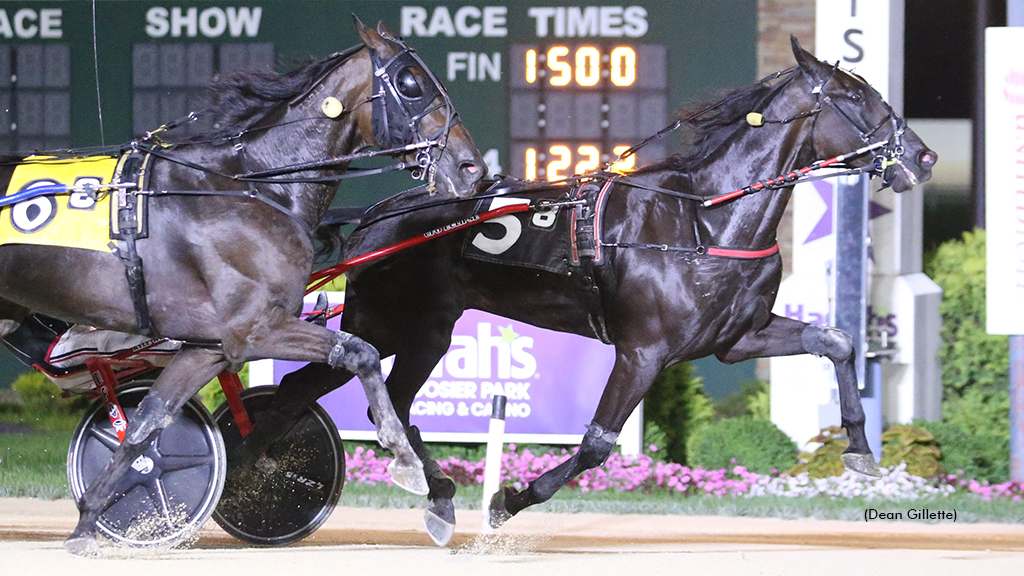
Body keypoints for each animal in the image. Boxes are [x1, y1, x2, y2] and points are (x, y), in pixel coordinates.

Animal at [0, 20, 485, 553]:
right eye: (411, 83)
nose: (471, 168)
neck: (250, 187)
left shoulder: (208, 347)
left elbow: (147, 422)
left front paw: (88, 520)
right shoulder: (254, 329)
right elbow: (361, 352)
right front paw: (405, 461)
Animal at [234, 36, 937, 541]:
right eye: (855, 96)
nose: (924, 157)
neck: (707, 220)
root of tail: (378, 216)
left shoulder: (737, 338)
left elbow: (838, 341)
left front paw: (861, 451)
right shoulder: (644, 350)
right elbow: (598, 442)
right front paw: (510, 498)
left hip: (417, 330)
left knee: (363, 397)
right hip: (394, 323)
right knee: (333, 390)